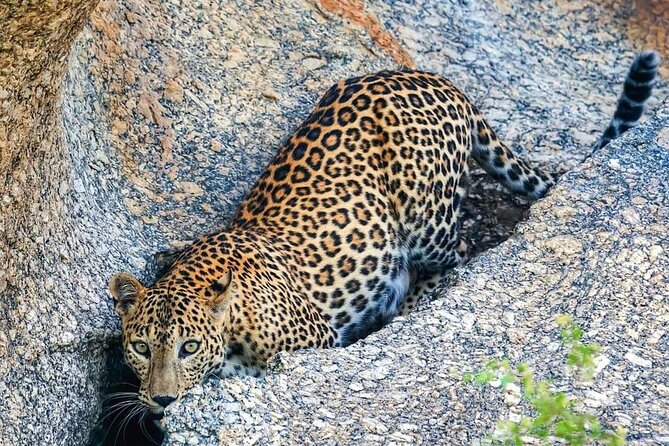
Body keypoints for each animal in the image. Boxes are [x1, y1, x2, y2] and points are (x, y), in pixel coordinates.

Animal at [109, 50, 659, 415]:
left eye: (188, 347)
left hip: (425, 217)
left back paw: (409, 305)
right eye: (141, 348)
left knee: (456, 254)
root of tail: (432, 76)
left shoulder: (316, 343)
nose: (163, 399)